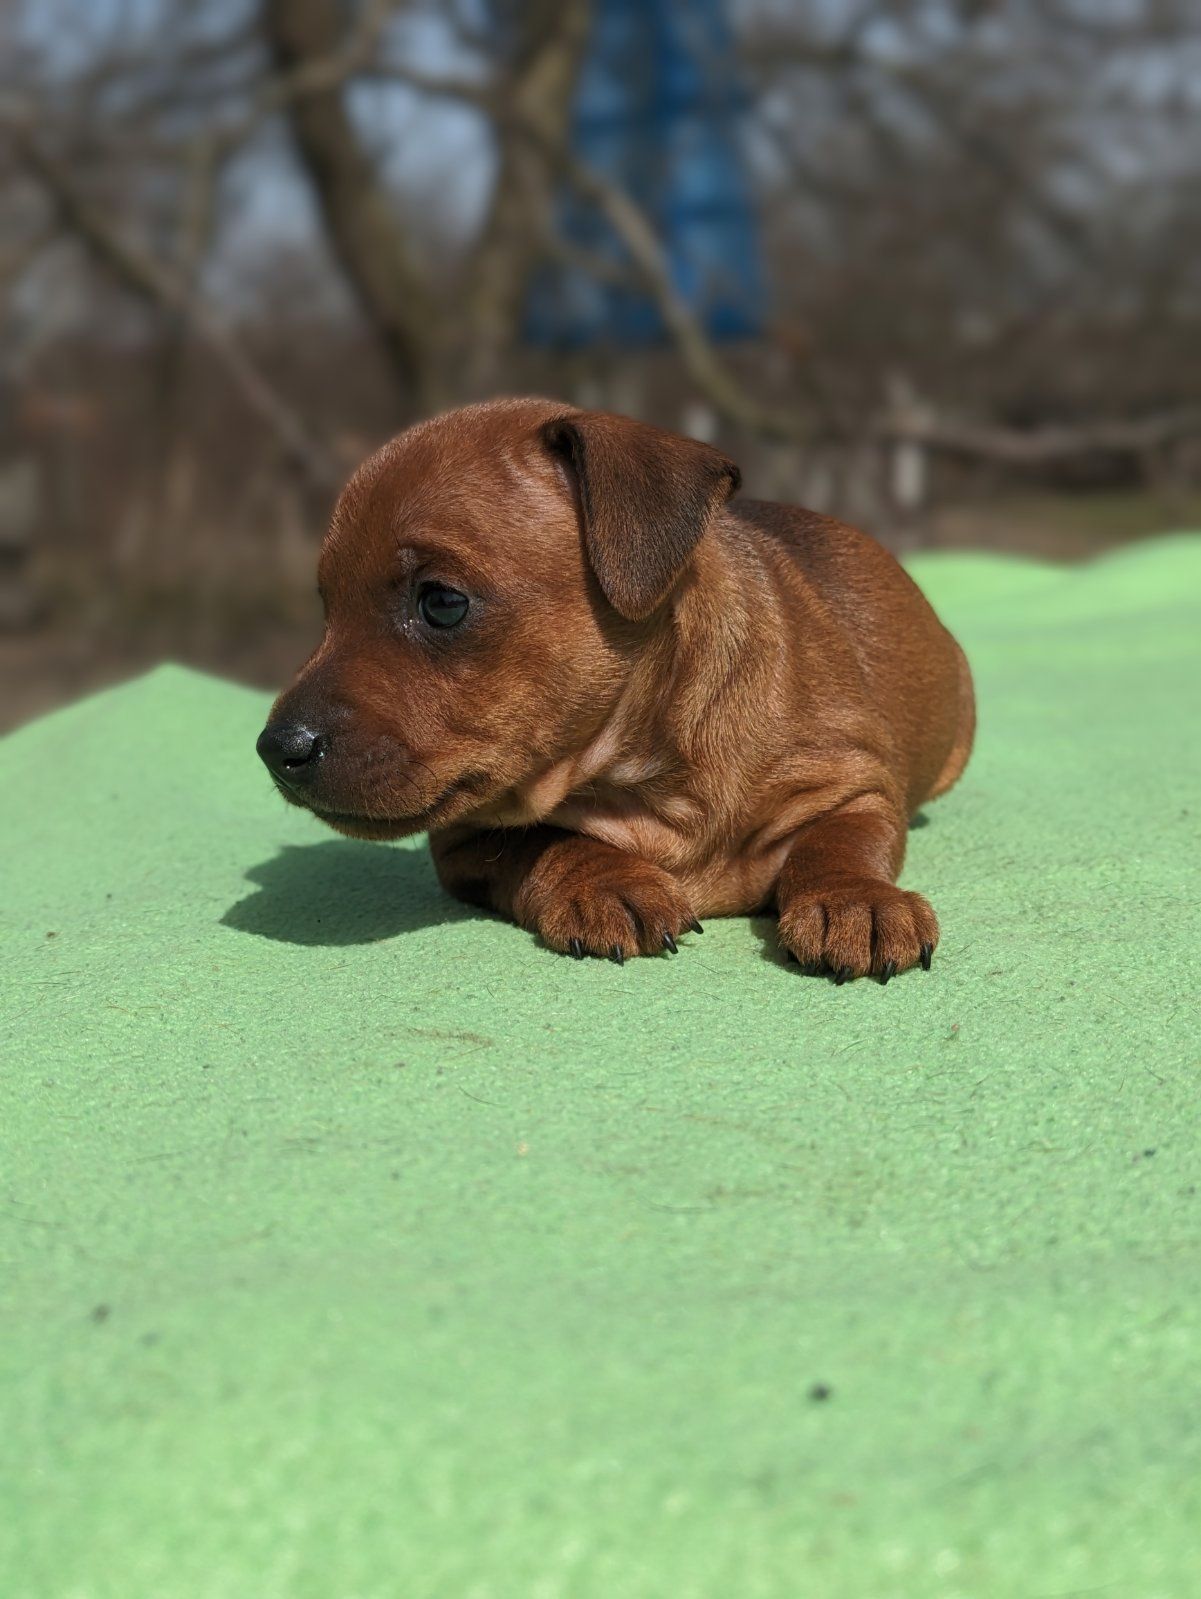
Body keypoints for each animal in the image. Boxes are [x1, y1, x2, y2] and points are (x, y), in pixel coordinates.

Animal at [259, 393, 972, 978]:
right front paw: (605, 883)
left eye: (440, 603)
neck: (648, 771)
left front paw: (857, 902)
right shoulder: (462, 835)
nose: (275, 749)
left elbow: (838, 844)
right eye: (327, 607)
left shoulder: (857, 785)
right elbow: (542, 838)